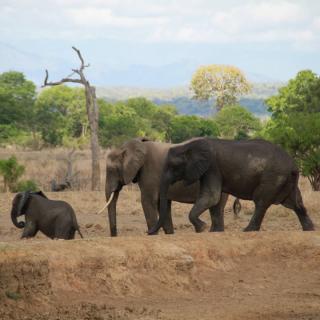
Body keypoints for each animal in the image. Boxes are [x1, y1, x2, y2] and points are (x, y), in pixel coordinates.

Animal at [101, 138, 239, 238]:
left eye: (112, 170)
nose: (115, 236)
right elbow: (164, 205)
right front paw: (169, 234)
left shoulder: (149, 173)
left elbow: (148, 201)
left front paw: (152, 235)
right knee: (216, 209)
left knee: (216, 208)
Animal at [150, 136, 316, 234]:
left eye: (173, 166)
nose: (149, 233)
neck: (190, 146)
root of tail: (293, 165)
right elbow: (214, 200)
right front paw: (213, 232)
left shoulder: (212, 167)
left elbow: (211, 197)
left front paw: (202, 228)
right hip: (286, 180)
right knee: (295, 203)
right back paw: (309, 229)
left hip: (273, 177)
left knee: (261, 201)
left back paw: (248, 230)